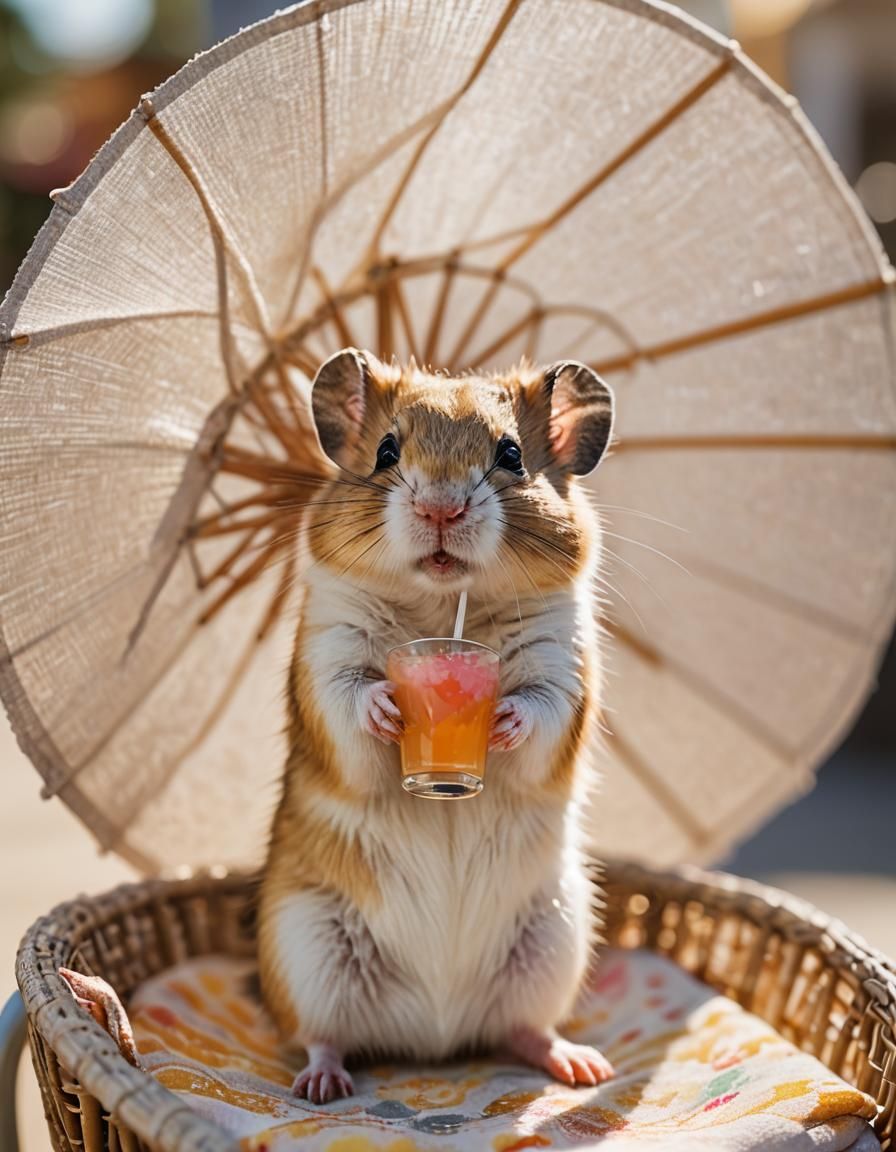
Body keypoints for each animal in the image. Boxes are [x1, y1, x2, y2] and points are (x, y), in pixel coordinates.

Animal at [259, 348, 615, 1103]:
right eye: (387, 452)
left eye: (511, 455)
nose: (441, 507)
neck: (442, 606)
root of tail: (434, 1036)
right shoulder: (328, 652)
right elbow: (352, 698)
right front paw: (390, 710)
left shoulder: (562, 664)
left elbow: (538, 707)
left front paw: (501, 719)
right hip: (309, 949)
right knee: (321, 1035)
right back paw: (322, 1085)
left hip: (554, 941)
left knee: (523, 1030)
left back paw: (580, 1066)